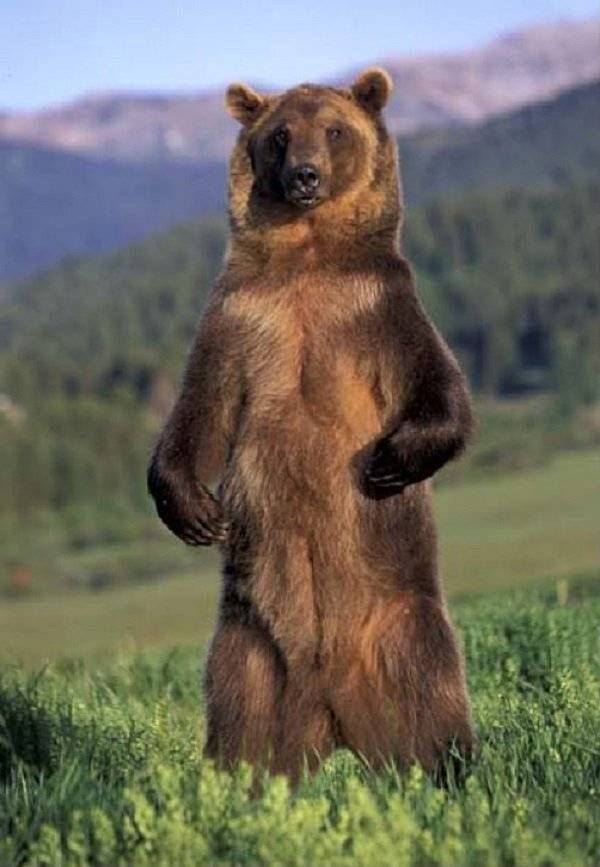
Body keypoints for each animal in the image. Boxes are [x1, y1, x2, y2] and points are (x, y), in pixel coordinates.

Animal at [147, 68, 475, 783]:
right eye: (278, 135)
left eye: (333, 129)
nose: (304, 175)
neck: (307, 258)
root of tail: (335, 719)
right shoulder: (241, 317)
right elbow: (200, 409)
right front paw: (194, 511)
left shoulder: (377, 308)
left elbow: (441, 390)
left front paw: (390, 461)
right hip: (247, 646)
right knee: (238, 723)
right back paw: (235, 781)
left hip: (404, 625)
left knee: (434, 706)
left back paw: (449, 772)